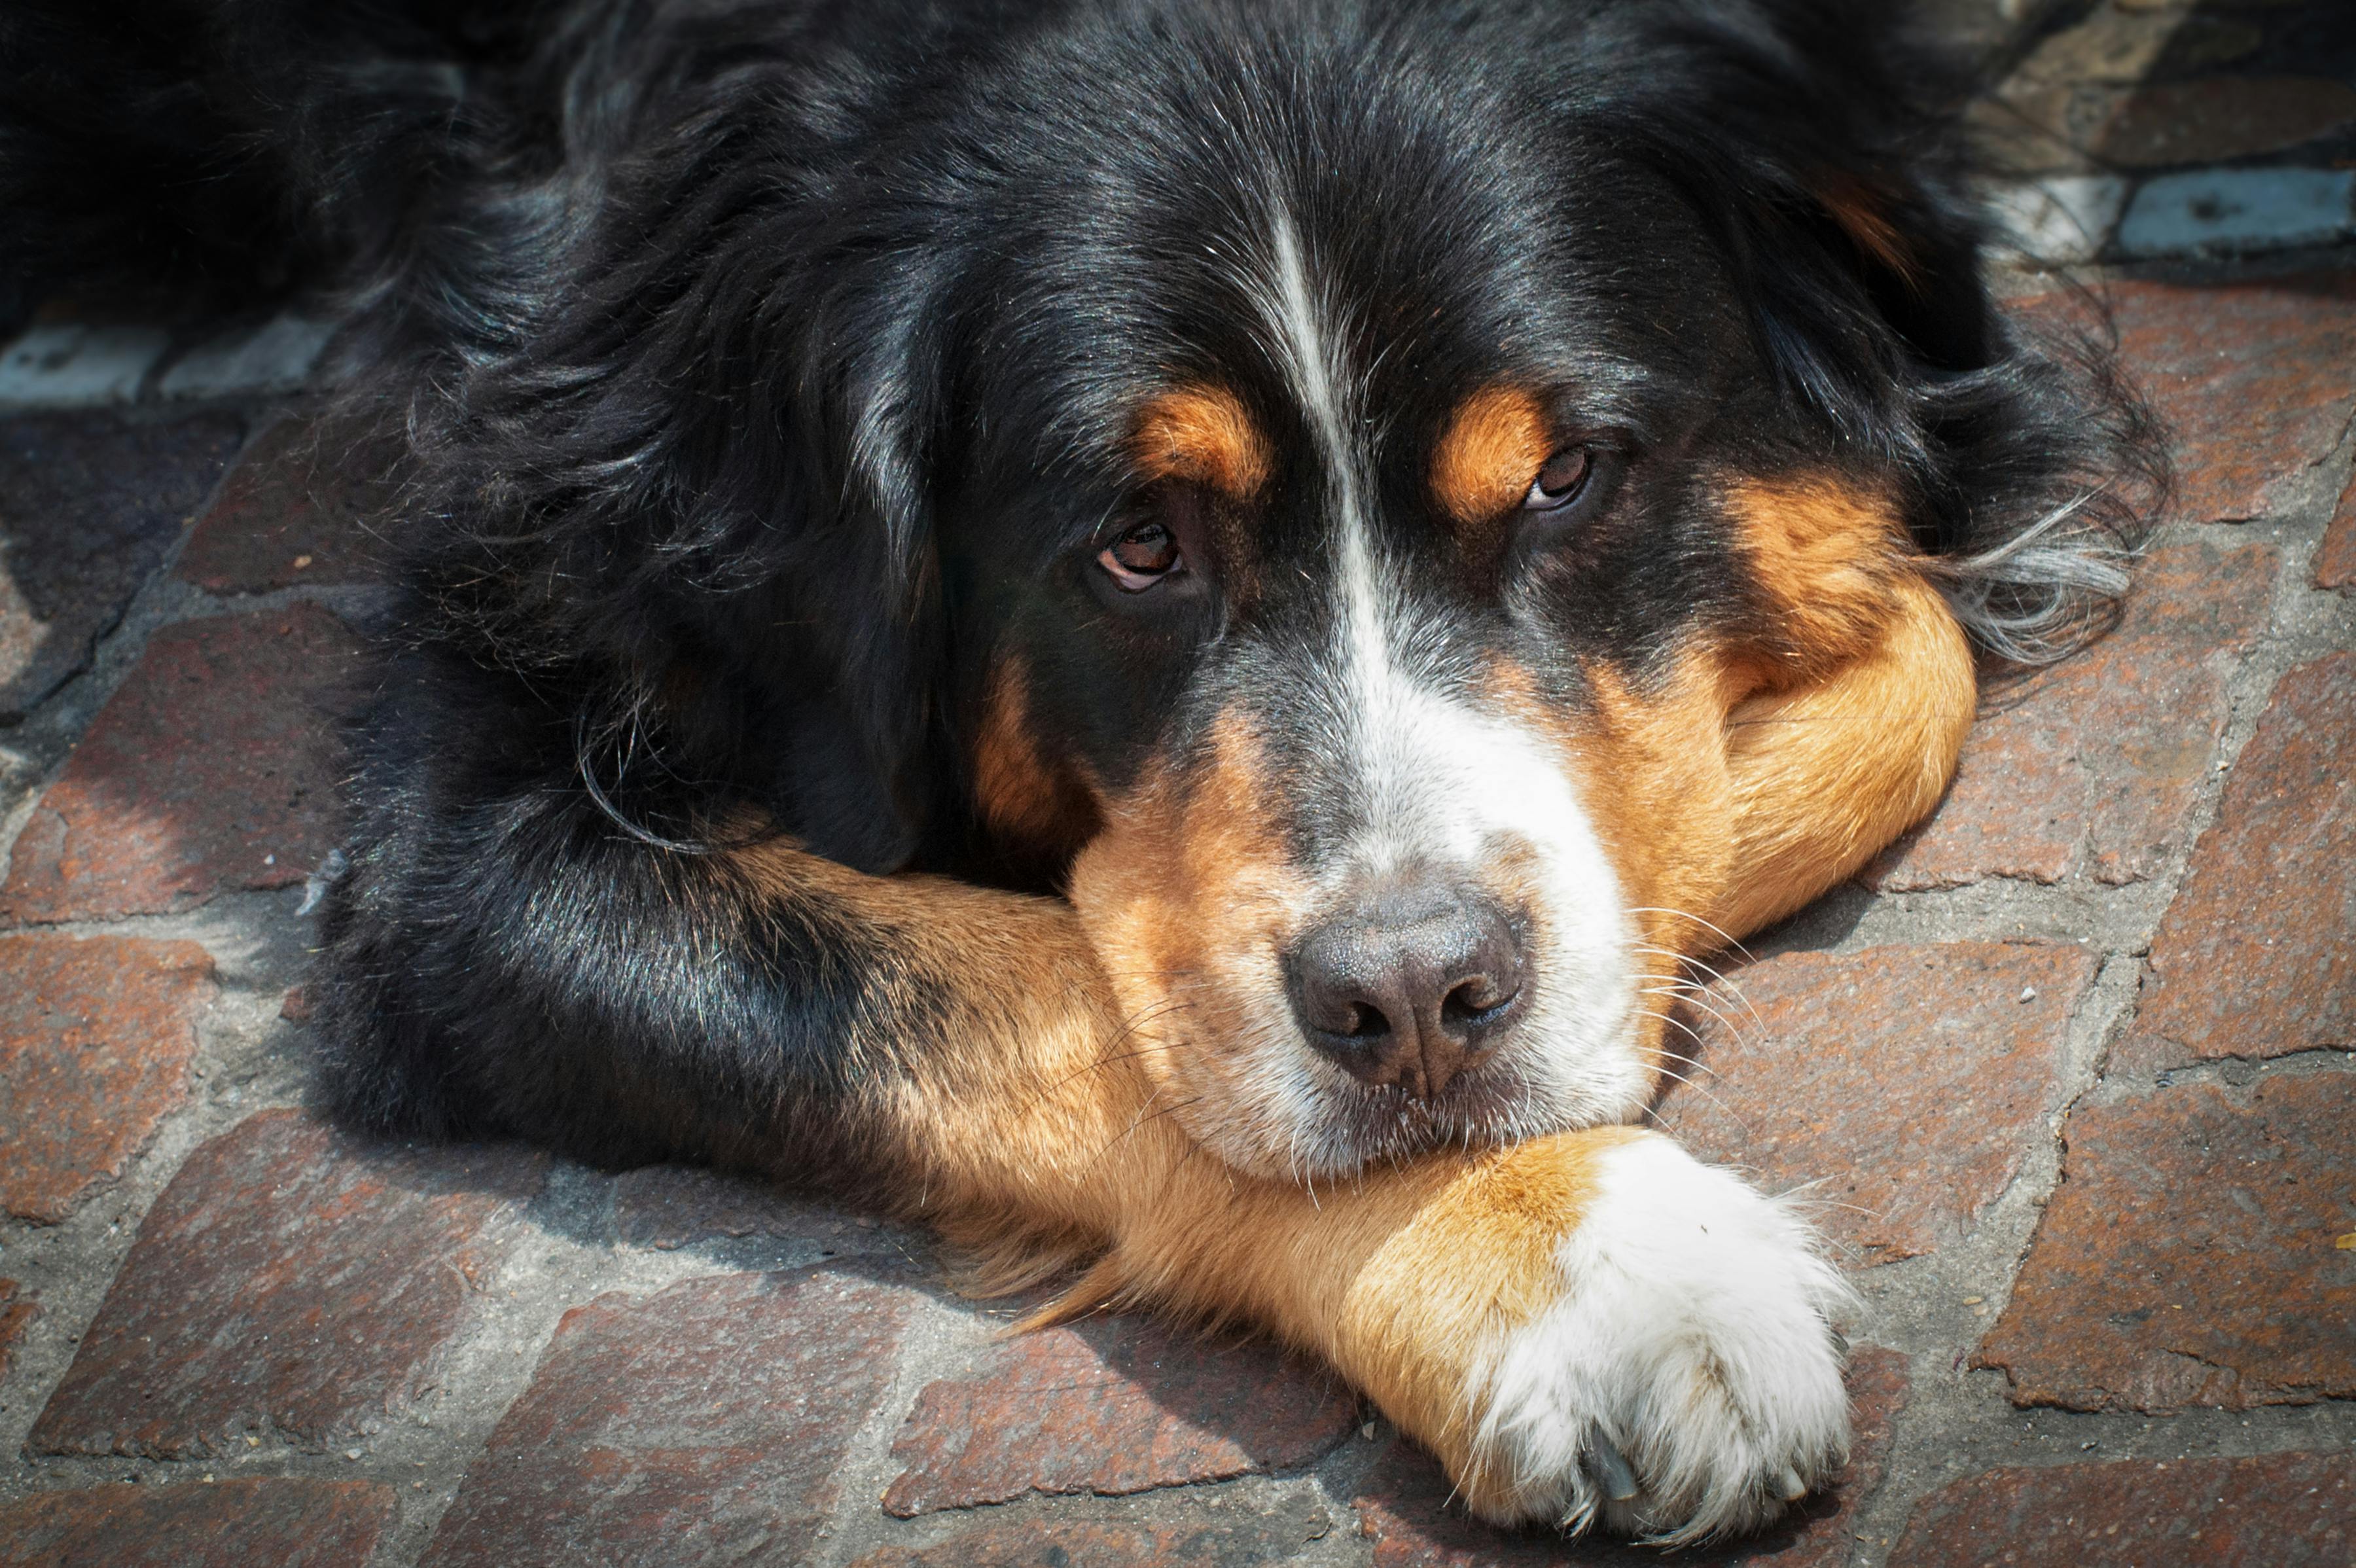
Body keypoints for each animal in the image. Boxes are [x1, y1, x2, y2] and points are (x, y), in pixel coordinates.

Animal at [0, 0, 2158, 1535]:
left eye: (1567, 475)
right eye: (1137, 544)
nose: (1418, 993)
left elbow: (1910, 655)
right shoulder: (470, 825)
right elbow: (1035, 994)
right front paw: (1590, 1265)